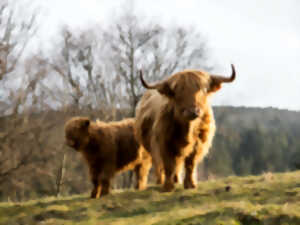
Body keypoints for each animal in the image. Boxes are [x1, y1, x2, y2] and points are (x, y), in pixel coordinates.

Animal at [135, 64, 236, 192]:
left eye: (203, 89)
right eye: (177, 91)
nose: (192, 111)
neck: (188, 129)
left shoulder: (199, 143)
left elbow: (190, 163)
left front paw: (190, 184)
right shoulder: (163, 143)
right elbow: (168, 164)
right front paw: (168, 186)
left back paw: (177, 180)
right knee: (161, 164)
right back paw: (162, 181)